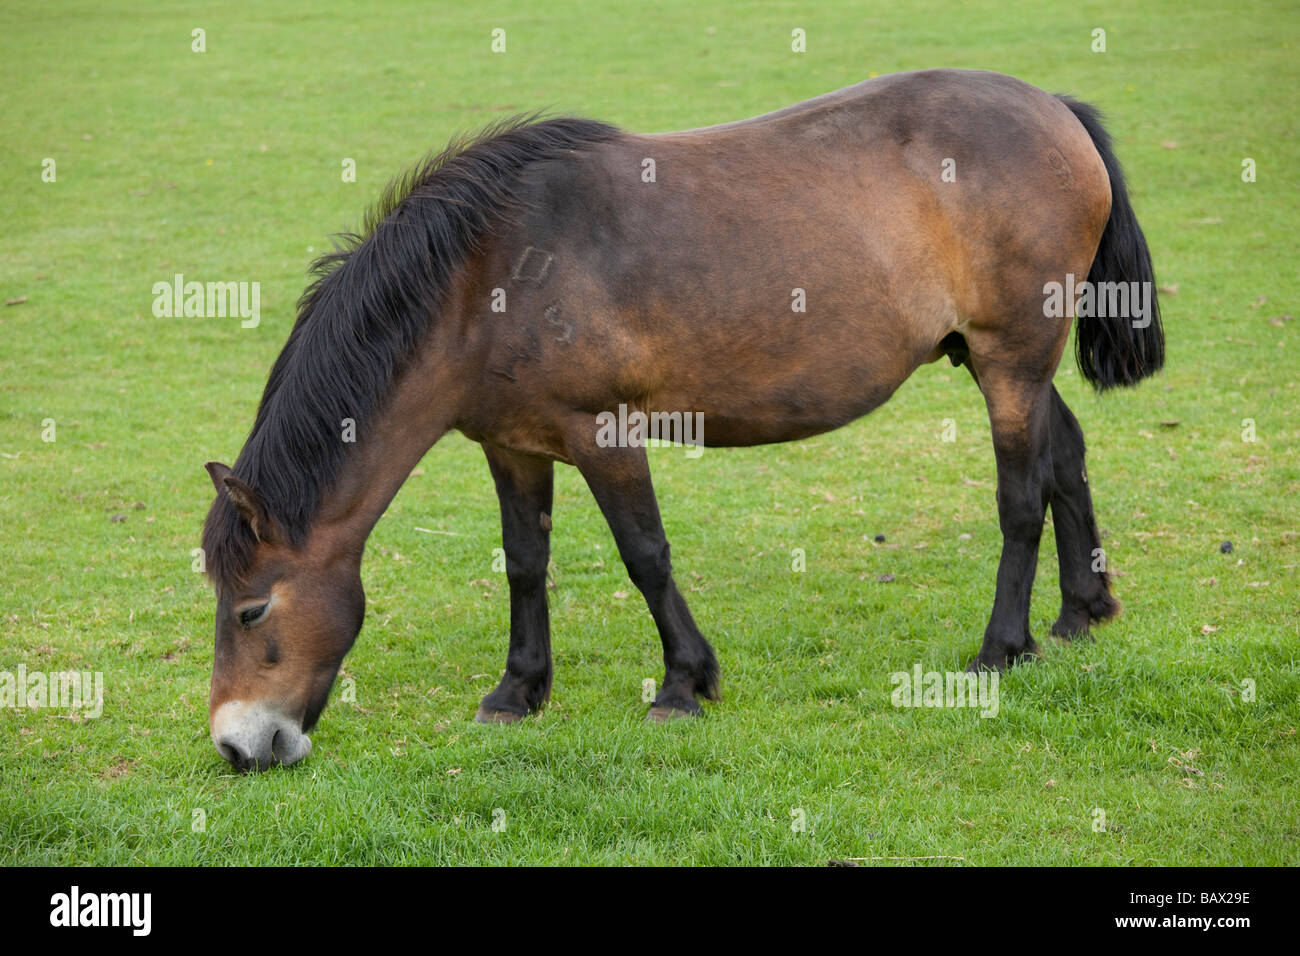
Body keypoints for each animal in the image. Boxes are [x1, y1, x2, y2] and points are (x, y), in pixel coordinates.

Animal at [201, 68, 1163, 771]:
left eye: (251, 611)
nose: (239, 747)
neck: (489, 279)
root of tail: (1057, 110)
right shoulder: (513, 446)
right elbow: (525, 565)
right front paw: (519, 691)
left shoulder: (604, 434)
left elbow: (646, 557)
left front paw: (683, 684)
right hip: (998, 356)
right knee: (1065, 455)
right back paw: (1080, 613)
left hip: (1011, 356)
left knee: (1020, 497)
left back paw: (1004, 646)